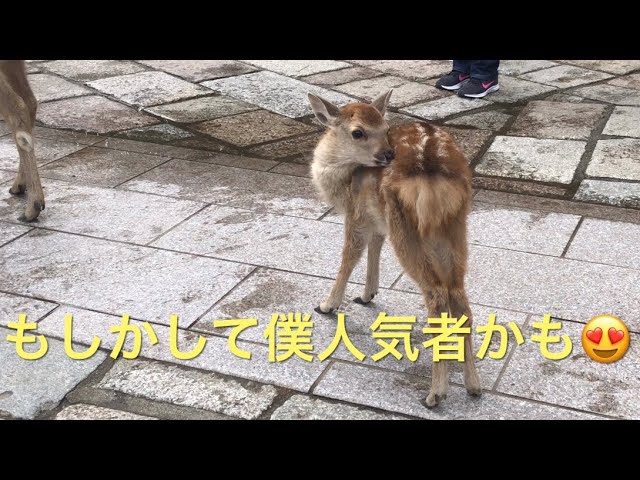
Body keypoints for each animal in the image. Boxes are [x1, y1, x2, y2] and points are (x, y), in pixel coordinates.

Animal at [308, 90, 481, 408]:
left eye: (384, 128)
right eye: (359, 132)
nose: (388, 154)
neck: (340, 180)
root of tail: (432, 175)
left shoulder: (356, 214)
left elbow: (350, 256)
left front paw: (327, 304)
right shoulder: (377, 220)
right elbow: (375, 247)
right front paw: (367, 295)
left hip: (406, 228)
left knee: (436, 295)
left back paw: (435, 394)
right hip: (454, 229)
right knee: (458, 296)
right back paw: (473, 386)